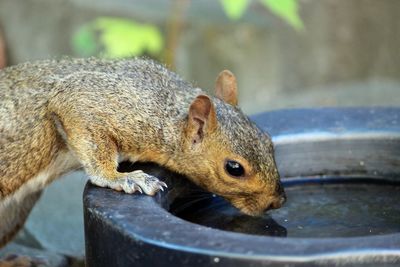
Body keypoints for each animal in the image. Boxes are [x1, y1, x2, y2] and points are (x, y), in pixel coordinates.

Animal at [0, 57, 288, 248]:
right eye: (234, 168)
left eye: (267, 140)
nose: (277, 202)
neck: (168, 109)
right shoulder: (97, 103)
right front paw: (122, 178)